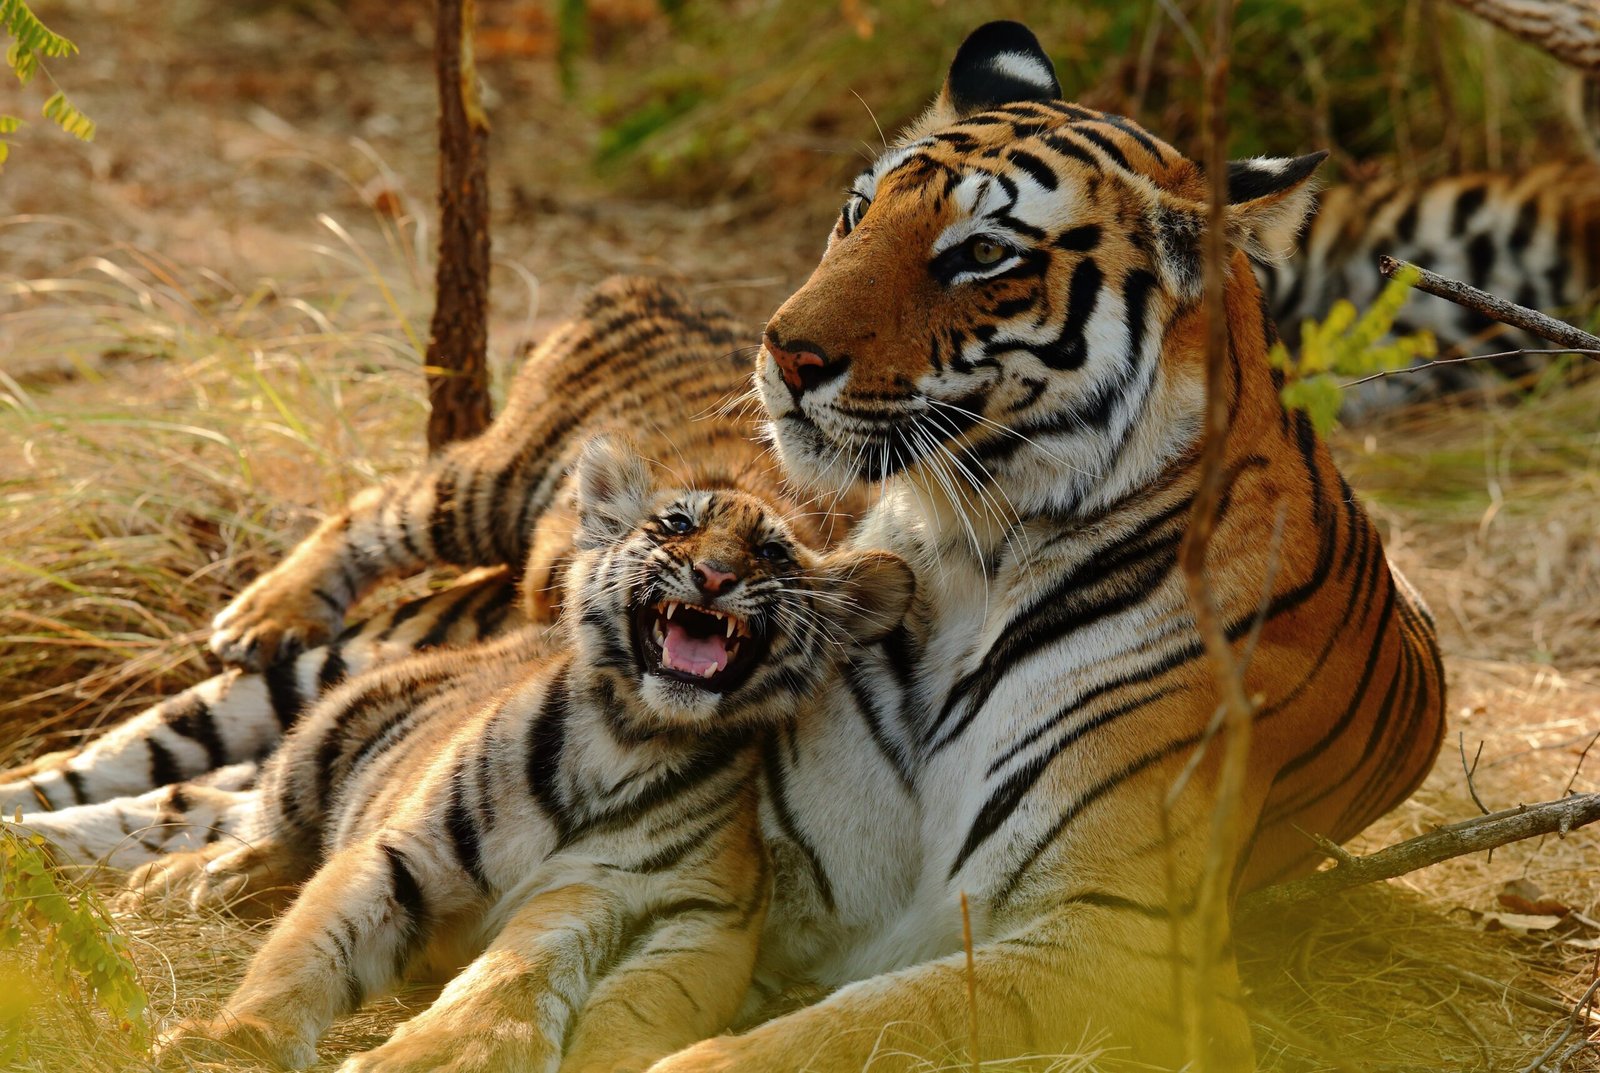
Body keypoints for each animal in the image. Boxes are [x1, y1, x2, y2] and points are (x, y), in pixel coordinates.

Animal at [151, 433, 914, 1073]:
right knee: (271, 824)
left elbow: (564, 974)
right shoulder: (399, 854)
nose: (717, 574)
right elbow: (303, 952)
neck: (628, 734)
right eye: (677, 525)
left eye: (774, 555)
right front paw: (232, 1041)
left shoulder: (633, 890)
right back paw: (193, 879)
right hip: (319, 738)